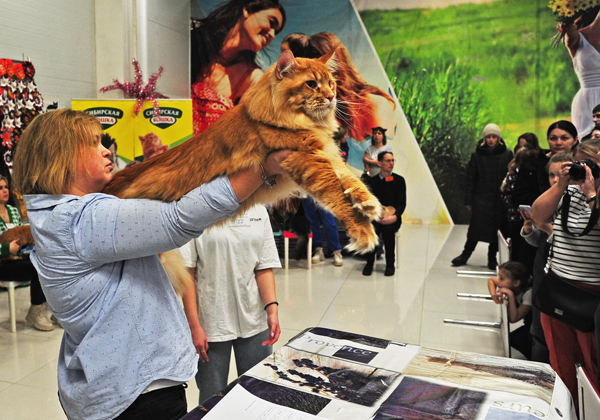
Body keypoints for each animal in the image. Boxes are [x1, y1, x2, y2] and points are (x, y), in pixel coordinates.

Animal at [103, 49, 382, 254]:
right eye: (312, 84)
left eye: (332, 84)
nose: (332, 97)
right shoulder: (305, 157)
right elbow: (335, 192)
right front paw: (364, 232)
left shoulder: (325, 152)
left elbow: (348, 177)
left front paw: (368, 202)